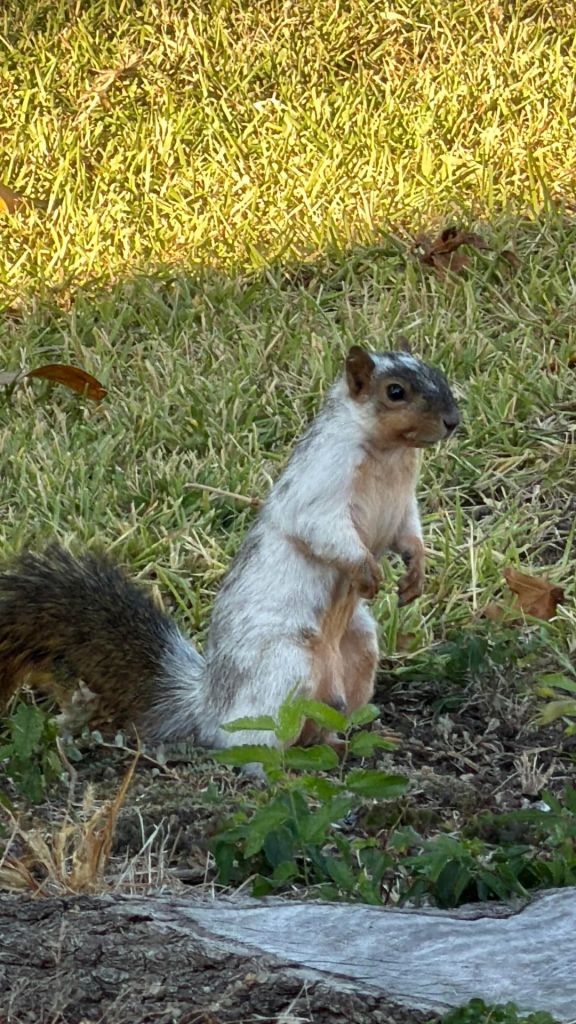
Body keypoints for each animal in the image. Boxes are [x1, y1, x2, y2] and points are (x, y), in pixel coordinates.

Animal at [0, 346, 459, 751]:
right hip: (284, 668)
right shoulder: (321, 486)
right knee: (255, 745)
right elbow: (322, 529)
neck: (391, 454)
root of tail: (208, 708)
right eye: (395, 392)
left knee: (323, 724)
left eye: (438, 373)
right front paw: (366, 569)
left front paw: (416, 571)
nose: (453, 421)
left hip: (358, 650)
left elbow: (408, 533)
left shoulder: (402, 507)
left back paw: (353, 742)